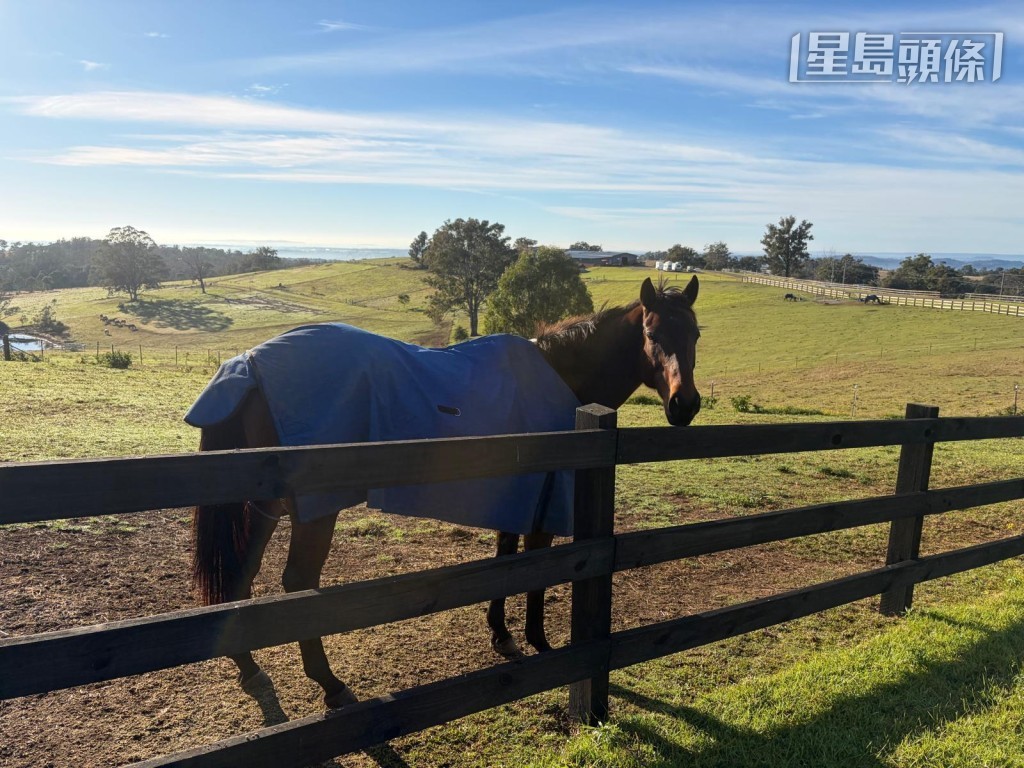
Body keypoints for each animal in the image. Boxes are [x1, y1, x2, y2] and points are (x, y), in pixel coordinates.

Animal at [190, 275, 701, 708]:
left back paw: (249, 668)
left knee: (242, 575)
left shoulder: (512, 496)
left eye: (695, 334)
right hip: (314, 510)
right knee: (297, 584)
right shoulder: (543, 503)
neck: (561, 375)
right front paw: (540, 643)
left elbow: (505, 562)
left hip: (265, 504)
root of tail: (249, 364)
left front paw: (502, 635)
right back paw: (330, 685)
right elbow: (534, 571)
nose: (685, 405)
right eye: (653, 335)